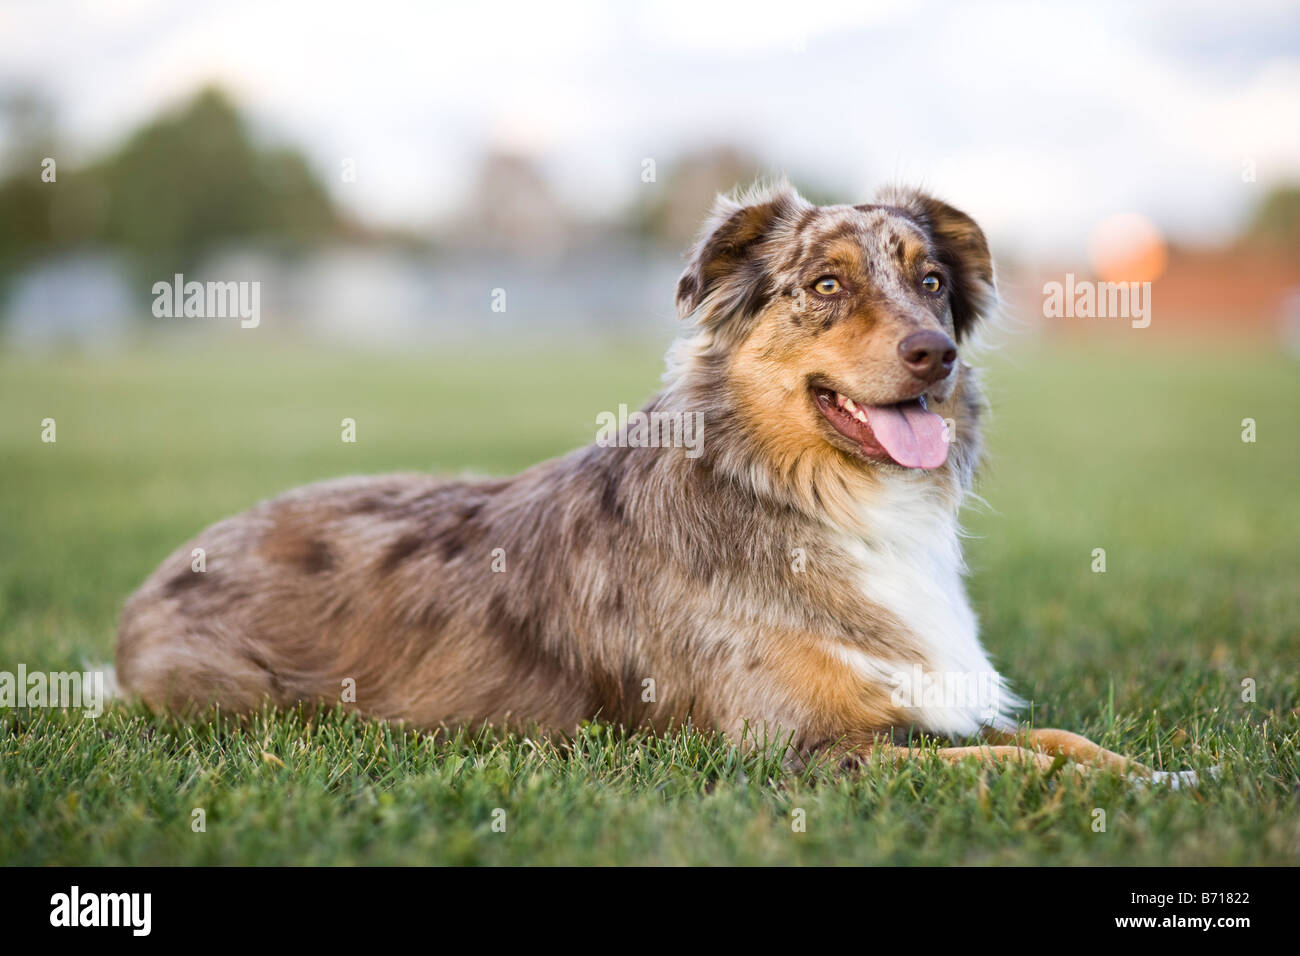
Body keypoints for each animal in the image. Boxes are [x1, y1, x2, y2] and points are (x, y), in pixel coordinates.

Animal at [119, 180, 1196, 785]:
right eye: (826, 285)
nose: (936, 353)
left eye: (930, 281)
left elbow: (1056, 736)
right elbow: (1003, 762)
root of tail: (157, 577)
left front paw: (1157, 768)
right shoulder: (797, 750)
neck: (802, 492)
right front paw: (1124, 789)